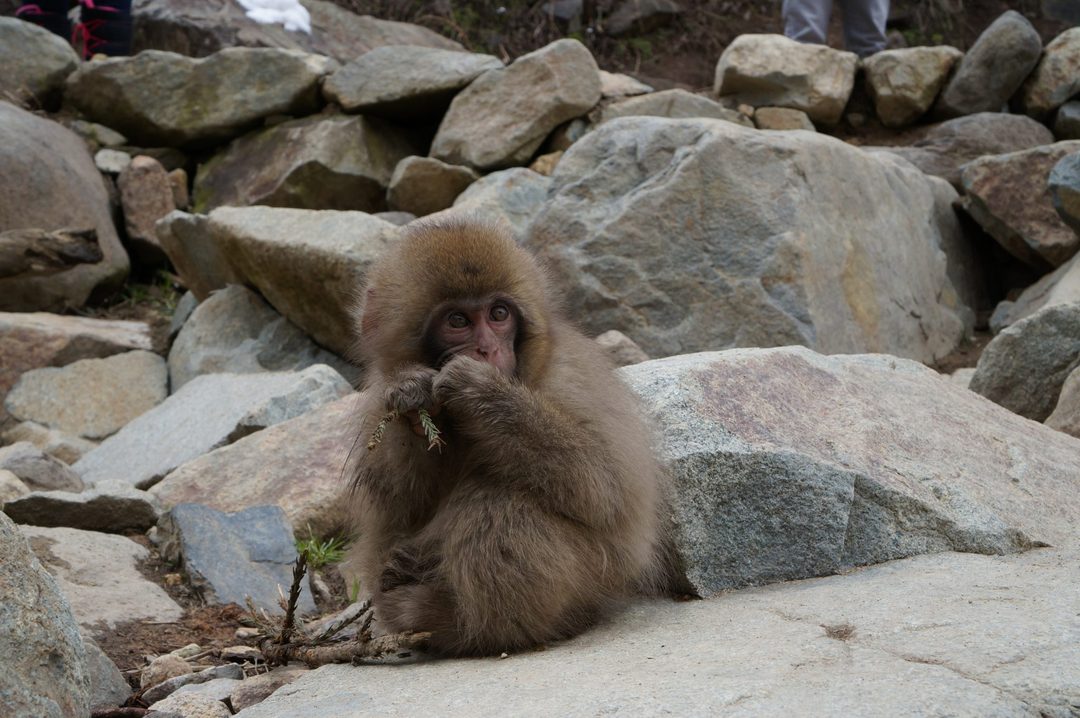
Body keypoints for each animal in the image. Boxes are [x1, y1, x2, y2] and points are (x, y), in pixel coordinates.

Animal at [345, 217, 667, 657]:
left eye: (498, 314)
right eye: (458, 321)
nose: (487, 350)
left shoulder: (572, 376)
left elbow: (605, 487)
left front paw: (482, 393)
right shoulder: (378, 394)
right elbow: (398, 505)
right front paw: (412, 393)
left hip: (595, 577)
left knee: (500, 504)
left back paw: (470, 626)